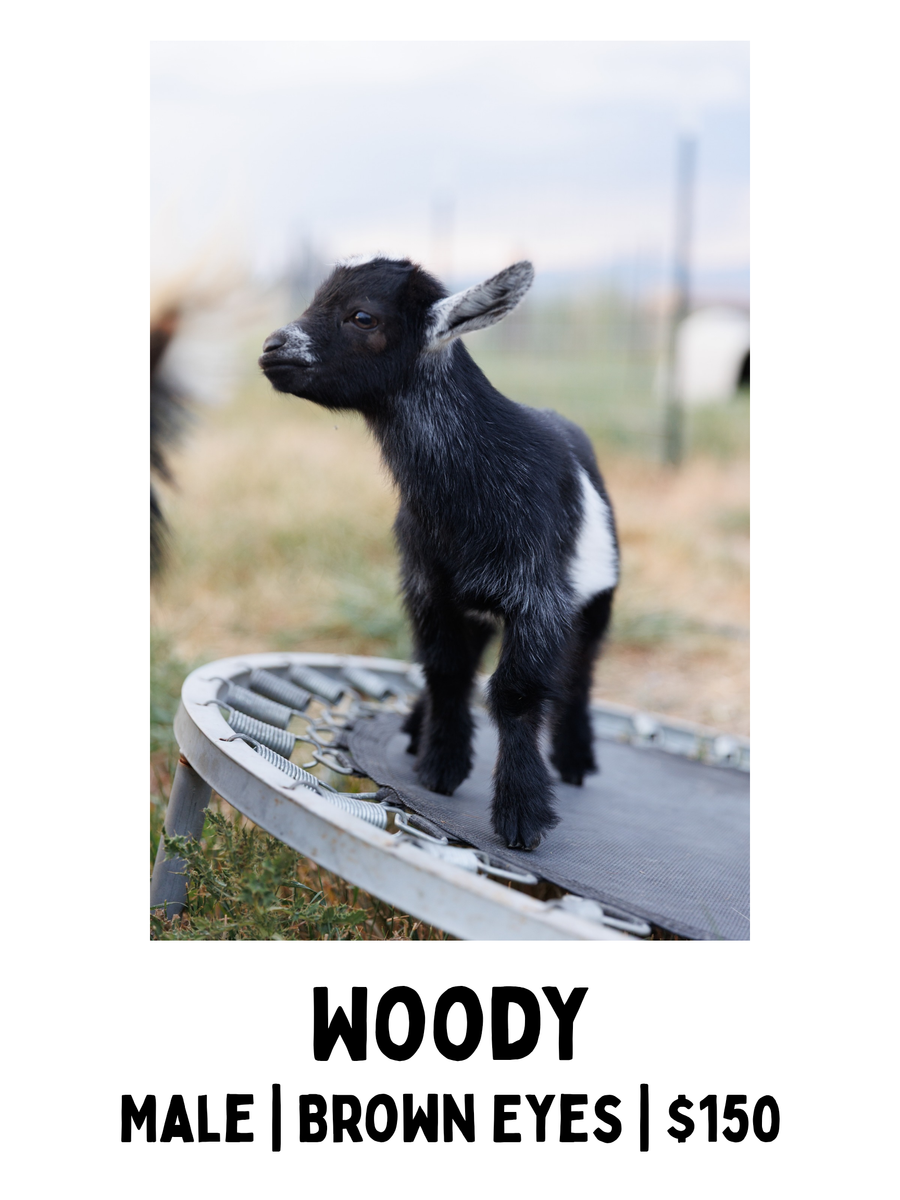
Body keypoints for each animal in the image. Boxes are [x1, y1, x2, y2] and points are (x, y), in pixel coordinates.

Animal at [259, 257, 618, 849]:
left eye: (363, 316)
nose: (272, 347)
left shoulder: (538, 598)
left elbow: (516, 692)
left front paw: (521, 814)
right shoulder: (428, 586)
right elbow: (445, 671)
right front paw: (441, 766)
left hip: (596, 601)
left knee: (579, 672)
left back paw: (576, 760)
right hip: (471, 607)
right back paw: (415, 730)